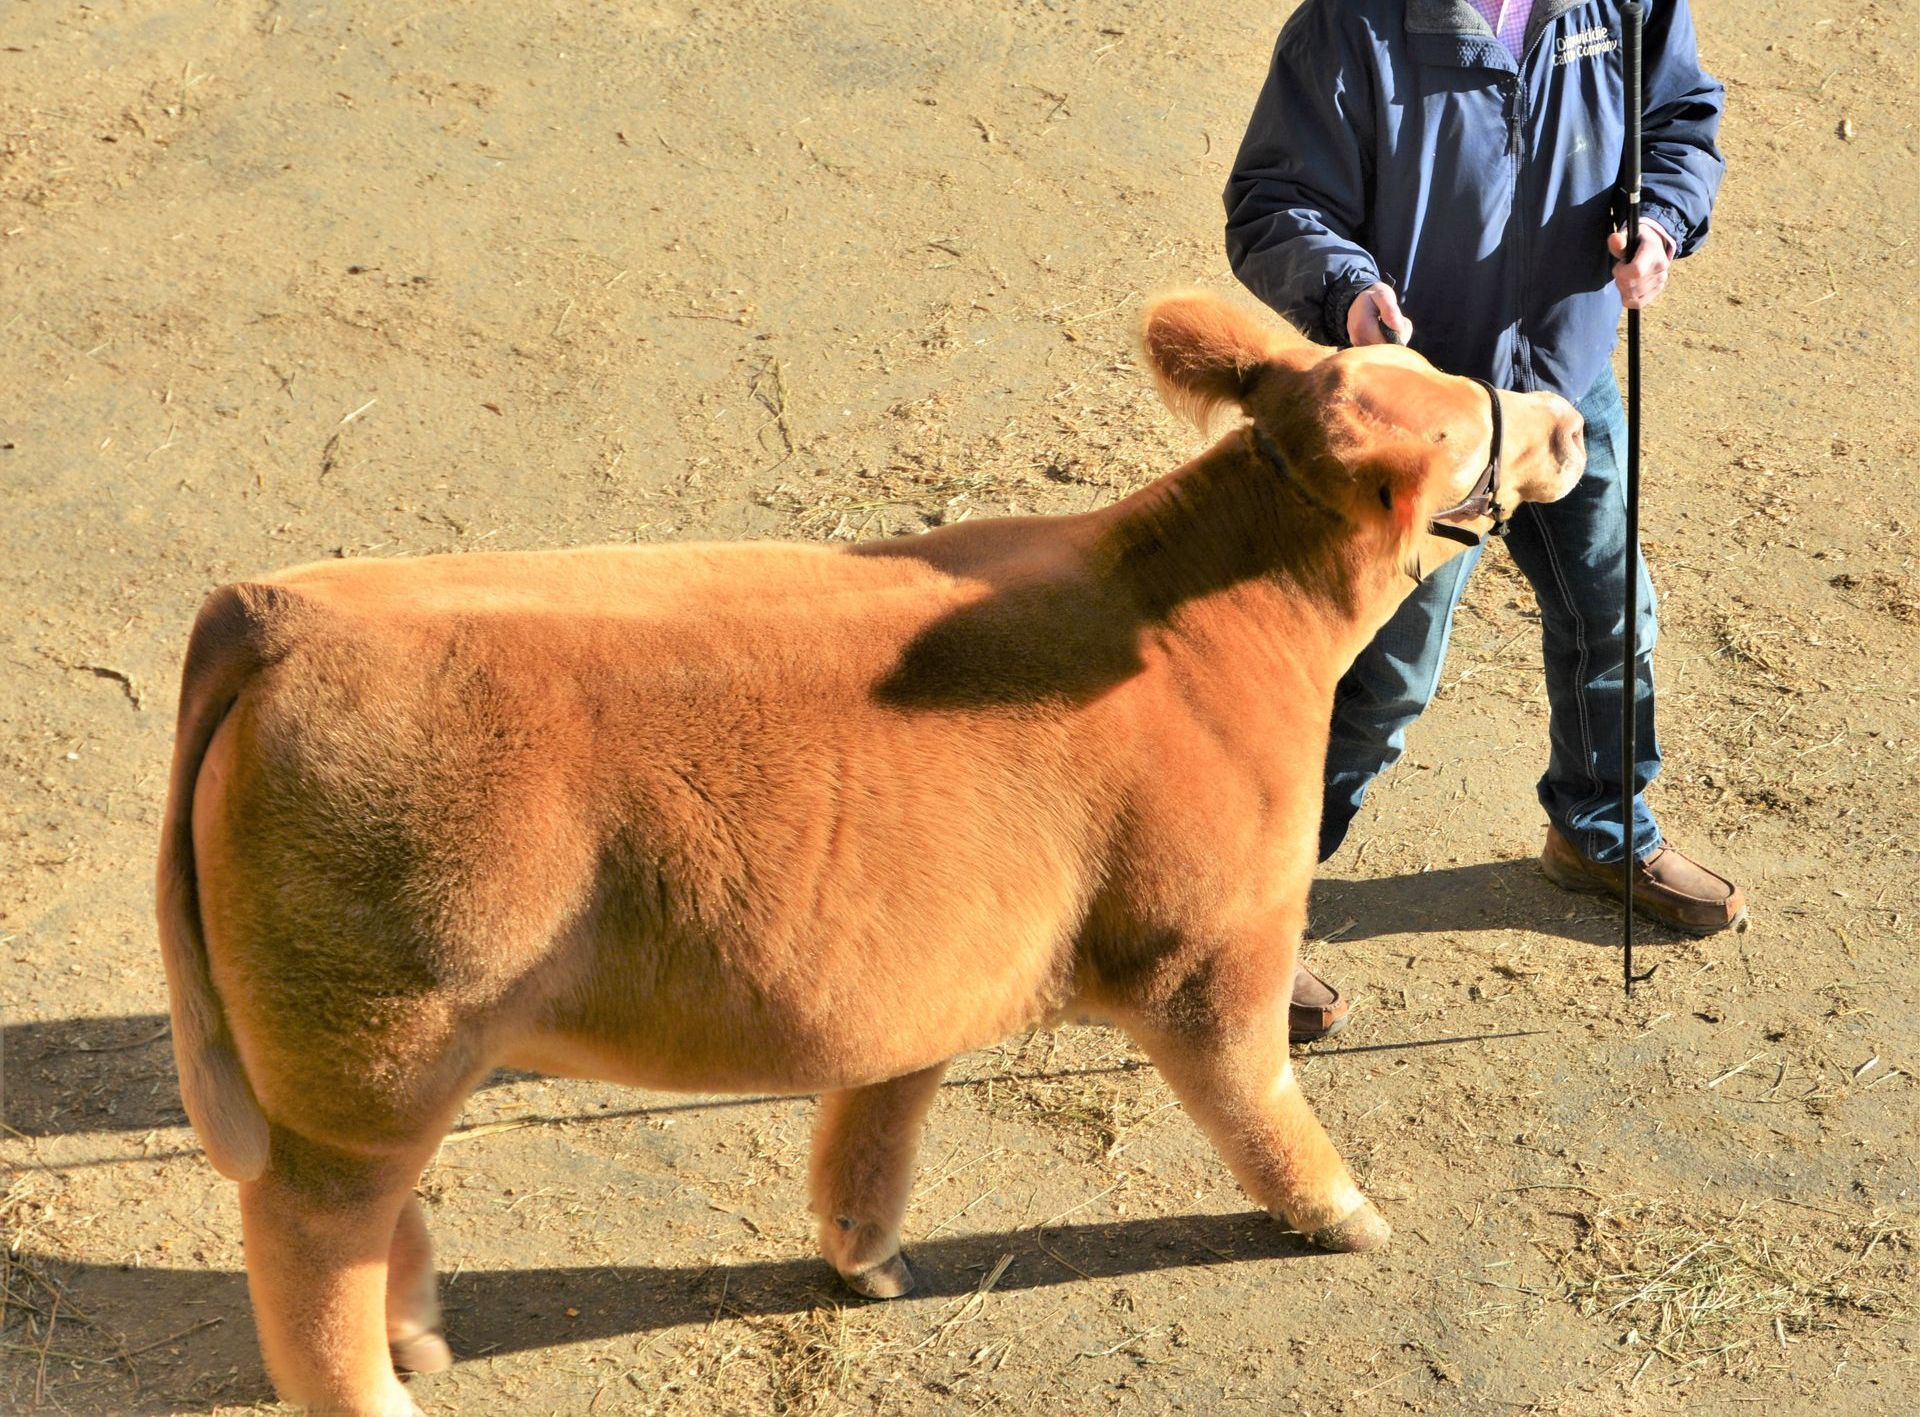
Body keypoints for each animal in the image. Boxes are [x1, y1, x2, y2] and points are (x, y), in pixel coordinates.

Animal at [157, 291, 1585, 1414]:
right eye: (1470, 427)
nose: (1569, 419)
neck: (1202, 621)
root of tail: (280, 613)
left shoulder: (929, 969)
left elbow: (878, 1120)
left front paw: (865, 1257)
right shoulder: (1214, 943)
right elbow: (1261, 1096)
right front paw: (1344, 1212)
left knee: (377, 1218)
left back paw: (416, 1330)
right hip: (373, 1054)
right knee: (310, 1242)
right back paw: (377, 1381)